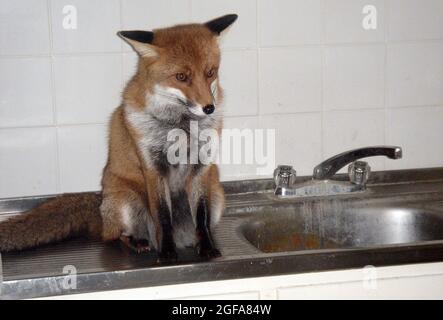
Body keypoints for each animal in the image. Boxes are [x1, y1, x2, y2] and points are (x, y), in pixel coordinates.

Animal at [0, 14, 238, 260]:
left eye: (210, 72)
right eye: (181, 77)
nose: (209, 108)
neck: (181, 128)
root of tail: (101, 211)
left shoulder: (201, 168)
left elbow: (201, 217)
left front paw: (207, 247)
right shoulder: (153, 168)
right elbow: (163, 217)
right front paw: (167, 253)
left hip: (217, 195)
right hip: (127, 202)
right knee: (115, 236)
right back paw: (138, 242)